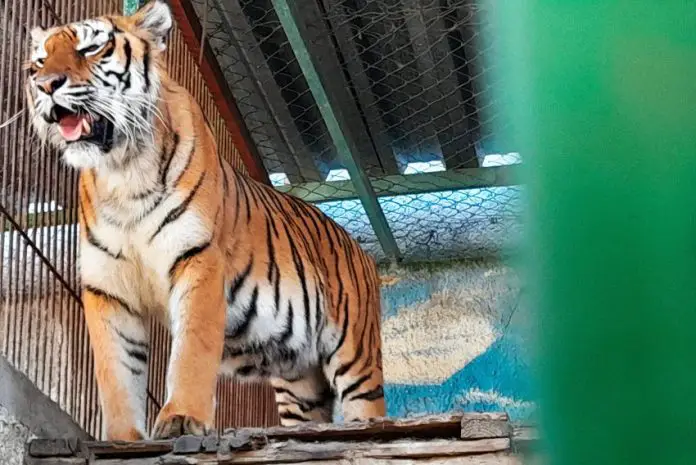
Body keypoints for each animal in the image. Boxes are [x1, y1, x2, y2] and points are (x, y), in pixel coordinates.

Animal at [25, 0, 386, 440]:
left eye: (91, 48)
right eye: (38, 62)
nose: (45, 85)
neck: (122, 173)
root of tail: (358, 246)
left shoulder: (197, 258)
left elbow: (191, 352)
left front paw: (182, 418)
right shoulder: (107, 288)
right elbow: (116, 373)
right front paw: (123, 439)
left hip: (355, 355)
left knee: (367, 407)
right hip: (299, 383)